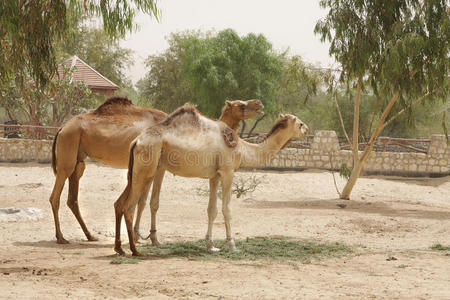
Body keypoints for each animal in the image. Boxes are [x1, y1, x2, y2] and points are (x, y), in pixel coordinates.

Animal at [48, 97, 264, 243]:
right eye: (241, 105)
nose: (259, 104)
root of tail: (61, 128)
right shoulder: (158, 168)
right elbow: (149, 202)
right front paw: (147, 237)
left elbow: (142, 201)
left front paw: (139, 235)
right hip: (68, 153)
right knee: (55, 196)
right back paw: (61, 237)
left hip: (79, 160)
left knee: (72, 198)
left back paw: (90, 235)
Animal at [113, 105, 310, 255]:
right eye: (300, 123)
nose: (307, 130)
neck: (242, 147)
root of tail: (137, 141)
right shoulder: (228, 172)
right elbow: (226, 210)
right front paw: (232, 245)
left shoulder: (215, 176)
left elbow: (212, 210)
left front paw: (211, 245)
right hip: (147, 167)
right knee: (129, 207)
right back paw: (135, 250)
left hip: (136, 171)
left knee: (119, 203)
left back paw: (120, 249)